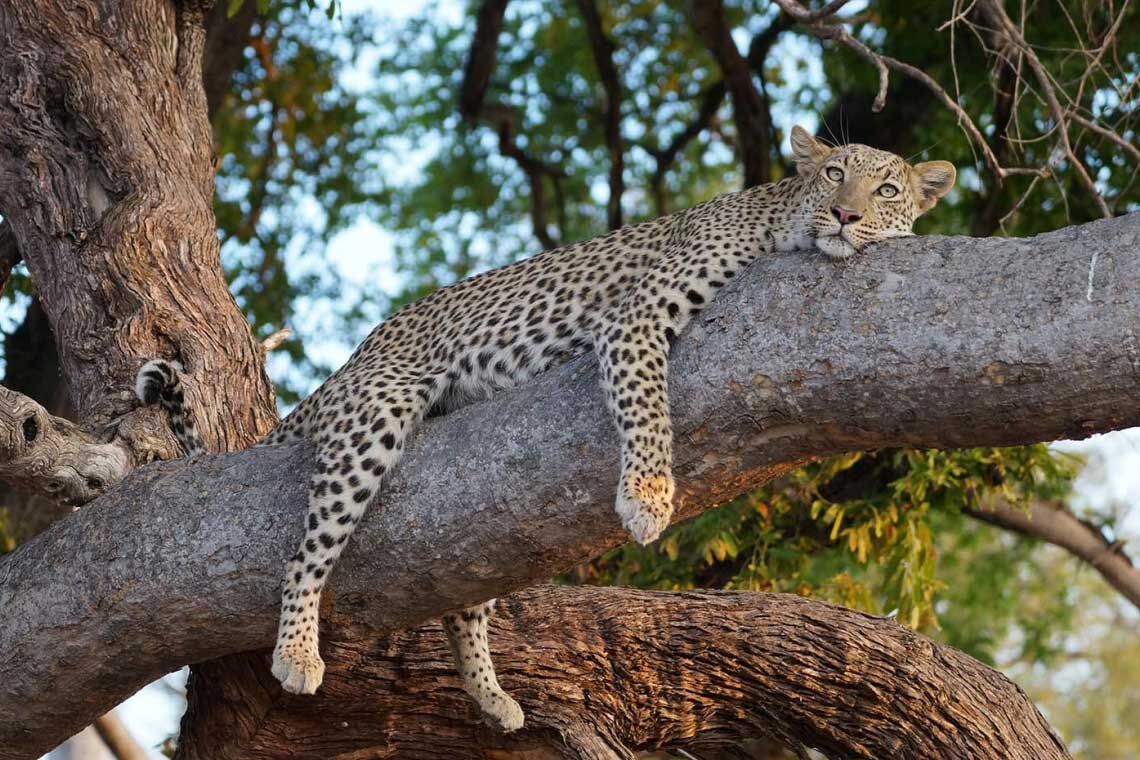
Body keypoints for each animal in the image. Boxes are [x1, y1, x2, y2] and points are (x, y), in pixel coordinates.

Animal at [135, 125, 955, 732]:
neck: (778, 219)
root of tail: (356, 356)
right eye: (833, 174)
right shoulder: (636, 319)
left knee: (464, 593)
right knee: (307, 552)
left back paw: (490, 695)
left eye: (884, 189)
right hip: (379, 410)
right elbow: (647, 406)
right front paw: (648, 498)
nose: (846, 216)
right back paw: (299, 652)